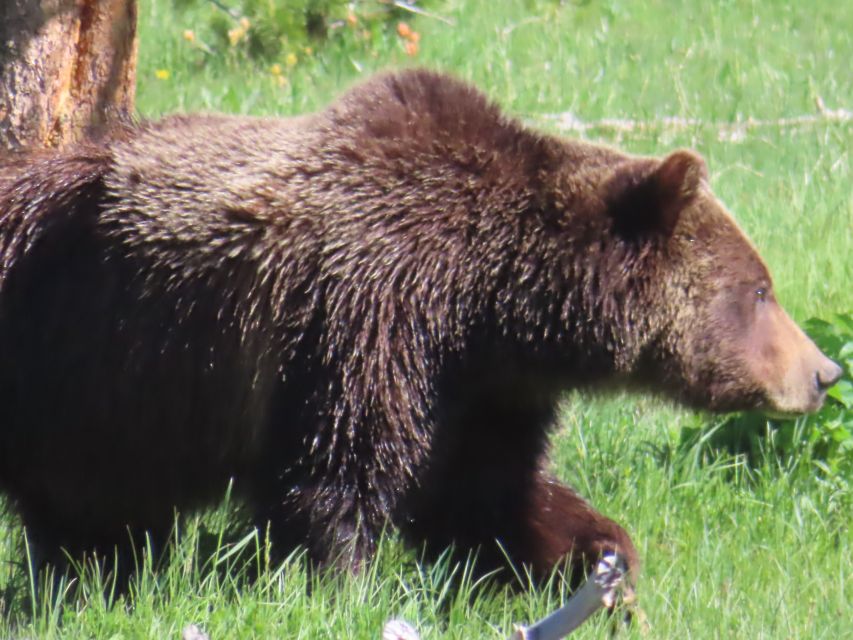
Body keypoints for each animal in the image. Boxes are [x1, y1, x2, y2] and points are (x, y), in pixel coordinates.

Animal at [0, 69, 840, 584]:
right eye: (759, 289)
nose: (824, 373)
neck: (487, 300)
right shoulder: (365, 317)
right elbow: (335, 477)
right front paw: (342, 584)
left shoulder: (483, 388)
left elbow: (486, 493)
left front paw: (597, 554)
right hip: (88, 346)